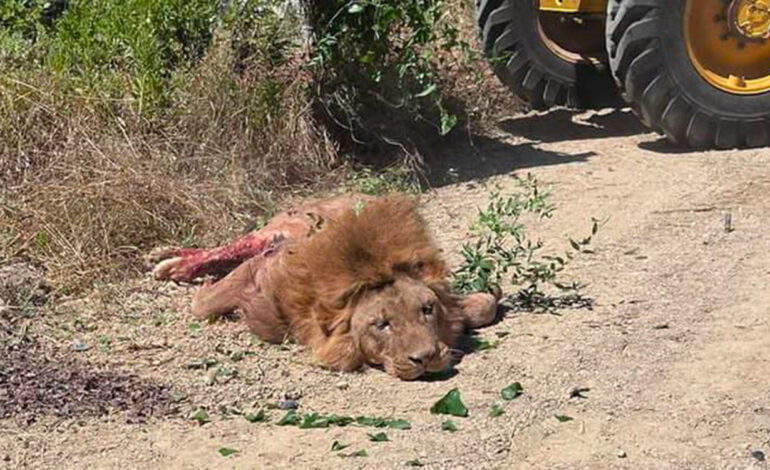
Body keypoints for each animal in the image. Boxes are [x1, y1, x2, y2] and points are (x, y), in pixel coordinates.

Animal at [150, 193, 500, 380]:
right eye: (381, 324)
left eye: (427, 310)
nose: (426, 358)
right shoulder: (263, 269)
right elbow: (202, 305)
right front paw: (202, 287)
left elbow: (485, 304)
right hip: (276, 232)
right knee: (232, 246)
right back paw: (169, 262)